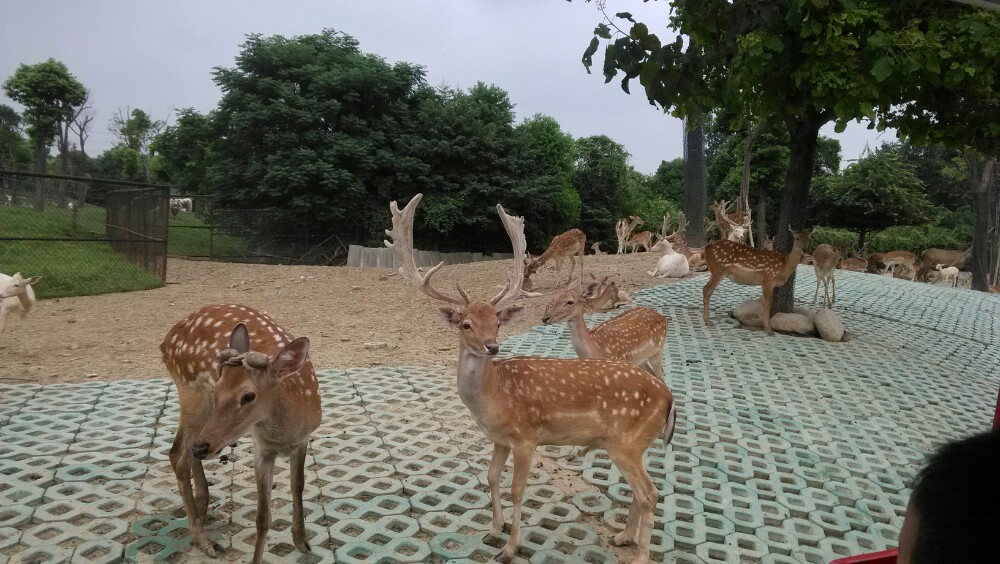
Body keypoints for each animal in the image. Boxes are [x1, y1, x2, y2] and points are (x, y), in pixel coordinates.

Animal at [161, 306, 320, 560]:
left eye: (248, 396)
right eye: (217, 388)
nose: (203, 447)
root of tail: (166, 342)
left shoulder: (303, 440)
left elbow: (298, 486)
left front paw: (302, 540)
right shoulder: (261, 449)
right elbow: (262, 517)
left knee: (187, 452)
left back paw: (202, 508)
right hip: (192, 394)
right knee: (178, 455)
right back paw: (204, 539)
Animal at [386, 195, 676, 564]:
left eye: (497, 322)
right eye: (466, 324)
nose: (493, 346)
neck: (495, 398)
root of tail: (669, 398)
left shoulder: (526, 437)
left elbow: (517, 489)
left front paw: (510, 547)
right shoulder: (498, 439)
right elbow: (491, 478)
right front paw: (493, 530)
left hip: (625, 441)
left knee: (650, 493)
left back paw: (638, 553)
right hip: (633, 444)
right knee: (643, 490)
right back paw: (622, 537)